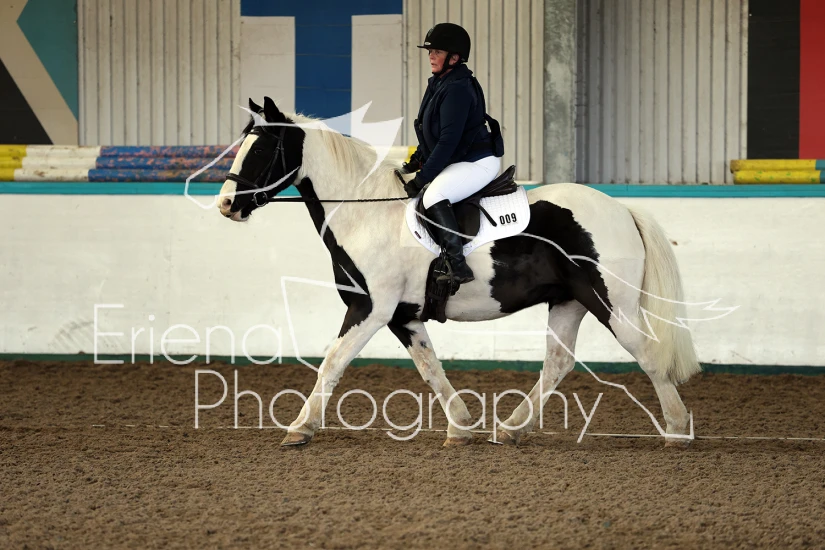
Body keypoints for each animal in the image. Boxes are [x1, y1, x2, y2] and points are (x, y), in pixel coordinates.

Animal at [216, 96, 701, 448]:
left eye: (263, 148)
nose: (225, 204)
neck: (366, 214)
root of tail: (621, 209)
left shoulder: (370, 309)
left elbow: (333, 361)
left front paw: (299, 427)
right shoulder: (403, 315)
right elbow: (431, 369)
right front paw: (461, 427)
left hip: (609, 301)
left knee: (648, 354)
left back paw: (677, 431)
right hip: (568, 301)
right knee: (558, 363)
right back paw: (509, 429)